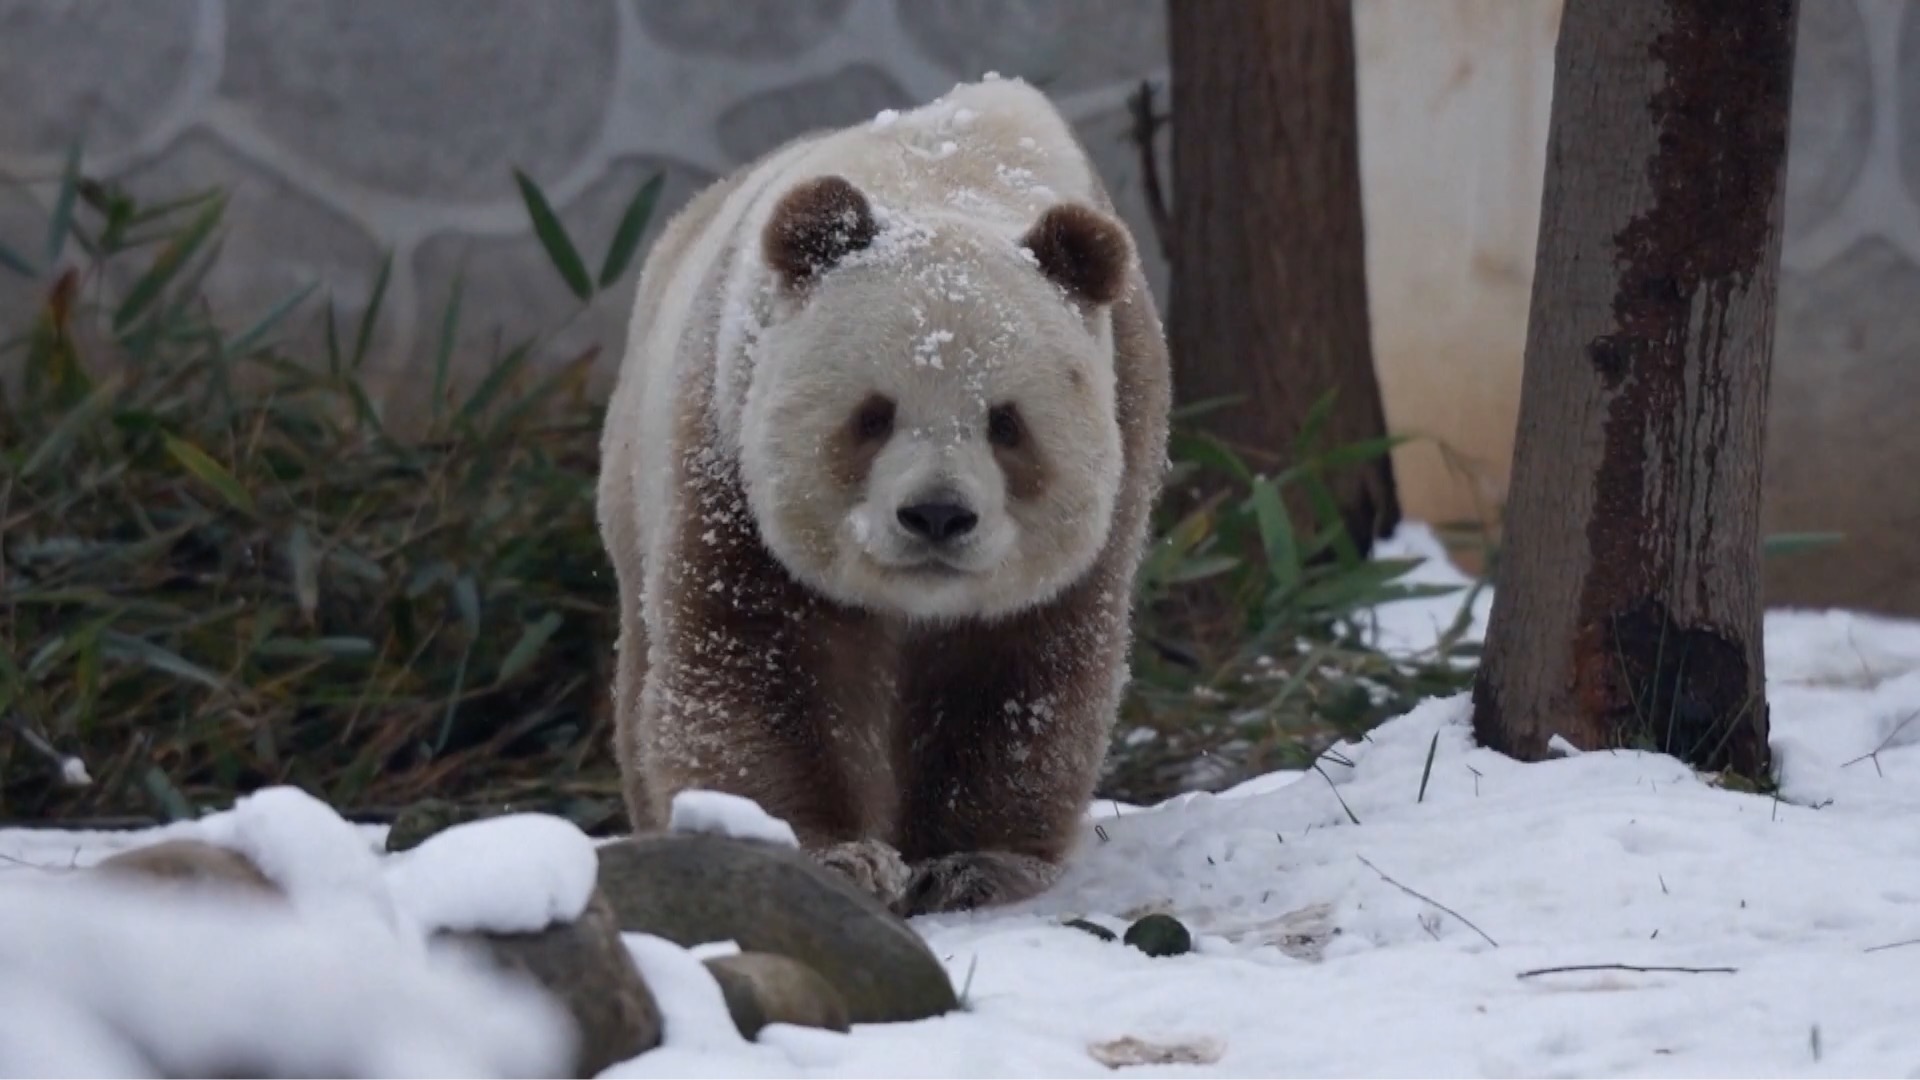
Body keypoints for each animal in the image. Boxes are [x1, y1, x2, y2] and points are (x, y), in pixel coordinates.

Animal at [596, 75, 1171, 915]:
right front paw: (832, 855)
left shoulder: (1126, 400)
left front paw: (970, 864)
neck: (949, 172)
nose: (937, 515)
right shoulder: (726, 438)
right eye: (873, 415)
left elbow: (1019, 671)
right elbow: (758, 656)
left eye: (1006, 423)